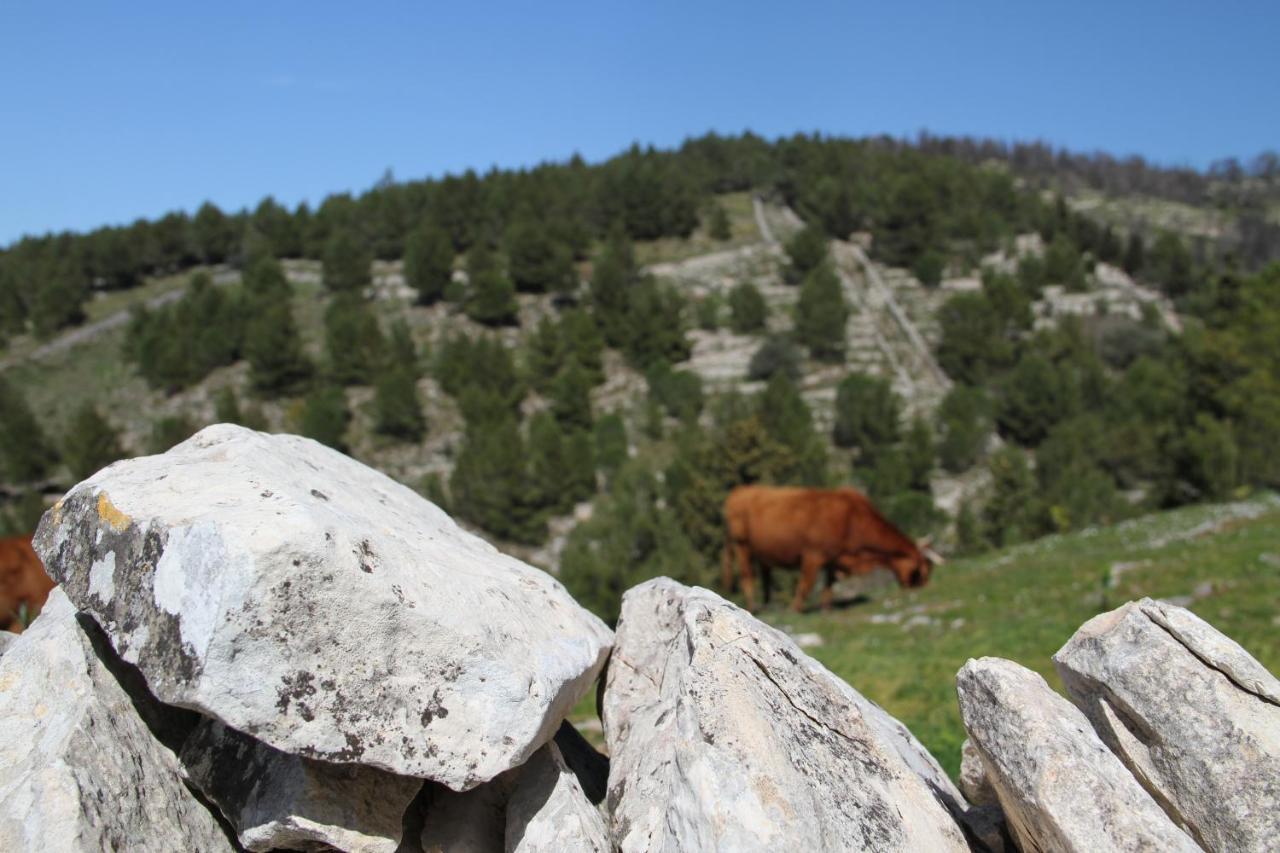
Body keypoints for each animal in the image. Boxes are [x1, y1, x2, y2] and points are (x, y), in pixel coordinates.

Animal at [721, 484, 942, 612]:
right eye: (923, 569)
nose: (923, 586)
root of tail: (739, 491)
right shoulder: (813, 555)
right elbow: (806, 585)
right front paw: (795, 609)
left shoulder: (833, 558)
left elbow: (828, 585)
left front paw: (826, 609)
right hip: (741, 545)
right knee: (747, 577)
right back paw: (753, 607)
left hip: (761, 553)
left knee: (765, 578)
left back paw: (768, 606)